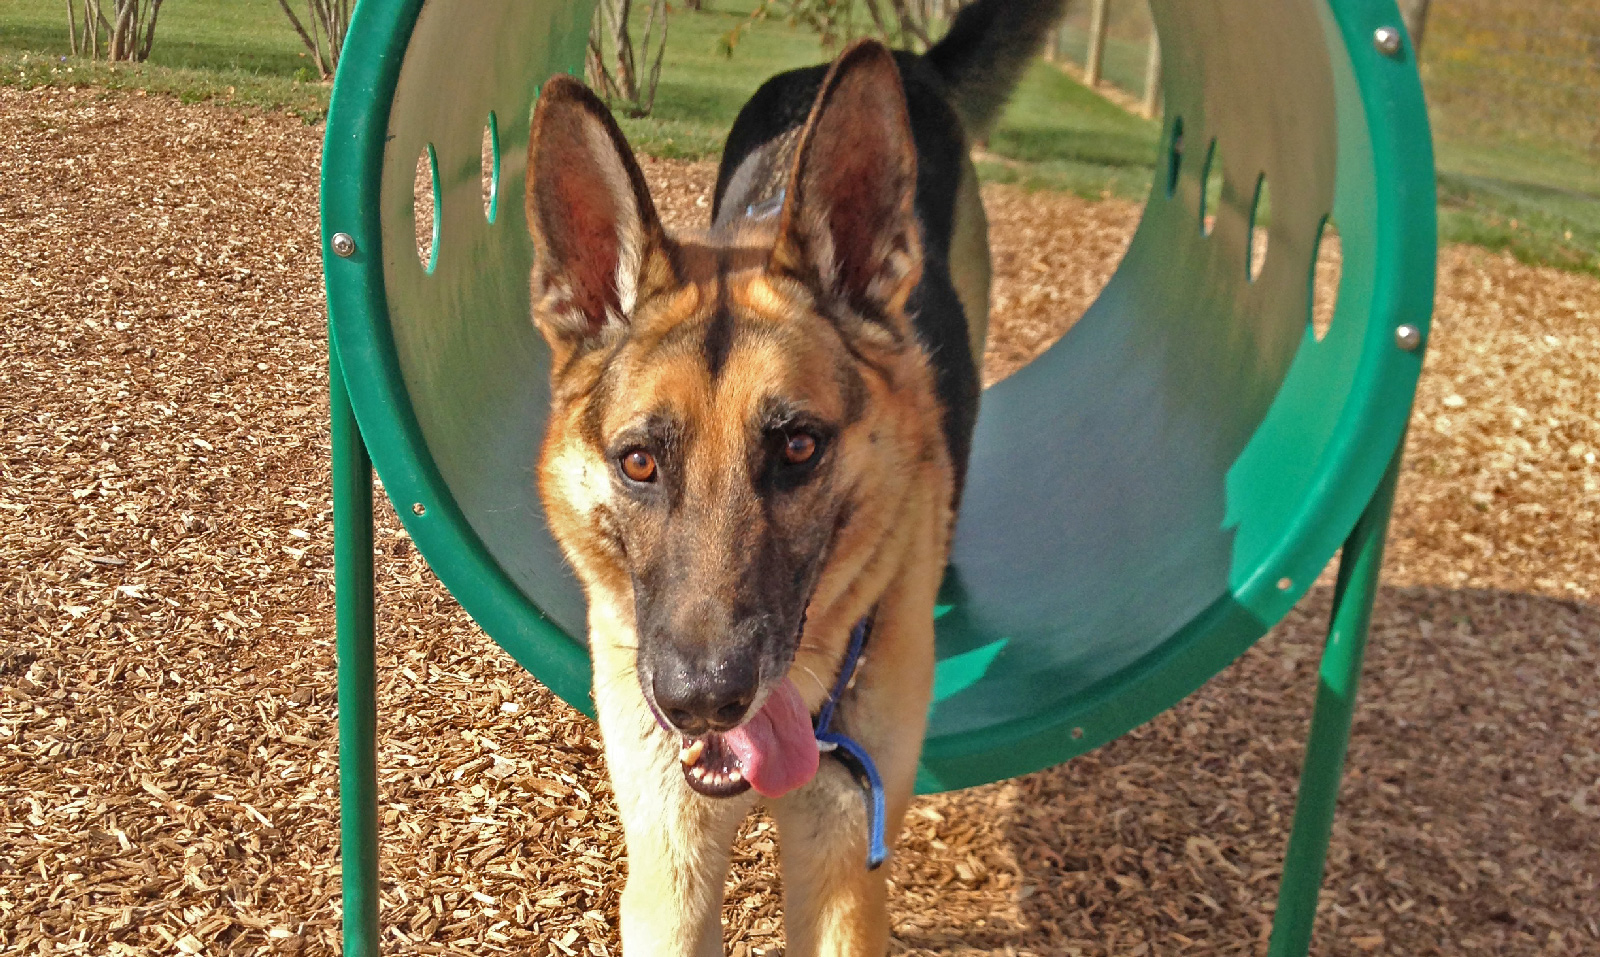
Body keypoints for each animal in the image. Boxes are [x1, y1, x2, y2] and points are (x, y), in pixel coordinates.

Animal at [524, 0, 1068, 953]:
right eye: (639, 462)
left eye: (798, 448)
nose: (704, 702)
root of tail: (905, 61)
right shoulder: (669, 873)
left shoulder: (842, 872)